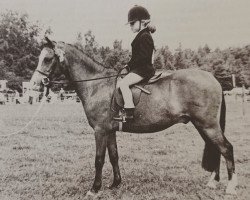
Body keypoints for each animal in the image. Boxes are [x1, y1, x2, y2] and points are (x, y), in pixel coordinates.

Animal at [29, 38, 236, 198]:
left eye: (47, 58)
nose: (34, 84)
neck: (97, 85)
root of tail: (212, 78)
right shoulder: (110, 131)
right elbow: (114, 156)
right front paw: (115, 184)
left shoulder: (100, 131)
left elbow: (99, 159)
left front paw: (94, 189)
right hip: (202, 126)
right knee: (216, 149)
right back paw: (213, 182)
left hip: (208, 125)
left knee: (226, 149)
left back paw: (230, 187)